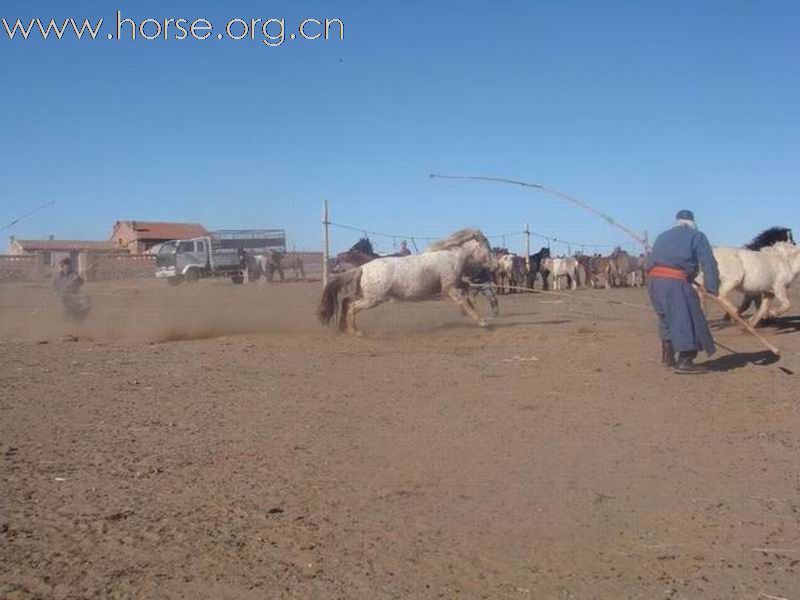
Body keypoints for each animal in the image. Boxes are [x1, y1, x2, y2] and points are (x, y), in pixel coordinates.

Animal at [318, 229, 494, 336]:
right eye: (487, 245)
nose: (494, 265)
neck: (450, 255)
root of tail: (362, 268)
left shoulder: (456, 284)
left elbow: (467, 294)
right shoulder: (449, 288)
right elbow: (464, 301)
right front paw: (483, 322)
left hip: (366, 295)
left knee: (346, 301)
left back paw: (344, 328)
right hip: (373, 299)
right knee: (352, 306)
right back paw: (356, 332)